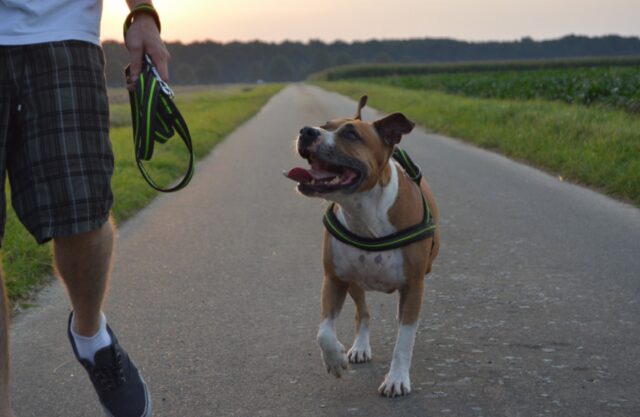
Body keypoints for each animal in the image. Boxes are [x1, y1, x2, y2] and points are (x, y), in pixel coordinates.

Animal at [284, 96, 440, 394]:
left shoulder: (413, 286)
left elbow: (404, 339)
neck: (364, 213)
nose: (307, 131)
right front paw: (335, 359)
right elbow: (323, 331)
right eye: (324, 125)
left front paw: (397, 378)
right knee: (363, 313)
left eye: (351, 134)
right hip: (355, 282)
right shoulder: (334, 279)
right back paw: (359, 347)